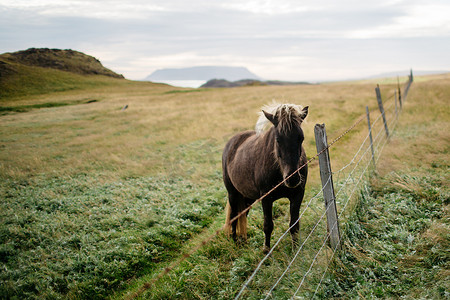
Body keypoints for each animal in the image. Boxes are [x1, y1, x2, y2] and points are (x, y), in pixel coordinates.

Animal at [222, 102, 308, 252]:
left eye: (301, 138)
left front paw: (296, 249)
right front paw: (266, 250)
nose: (292, 179)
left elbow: (294, 225)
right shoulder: (266, 198)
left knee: (242, 215)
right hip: (233, 194)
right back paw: (235, 242)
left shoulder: (298, 195)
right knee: (234, 216)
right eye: (278, 139)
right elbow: (268, 225)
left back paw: (242, 241)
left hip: (247, 198)